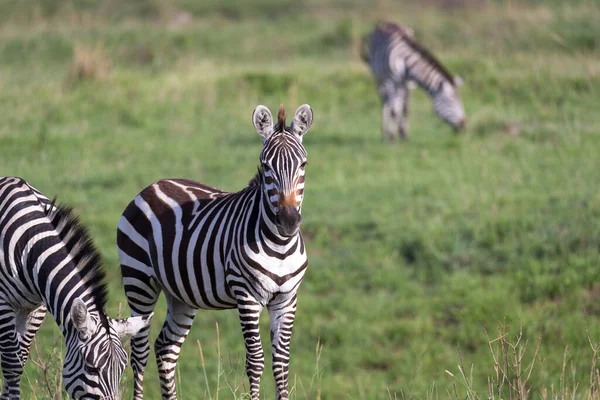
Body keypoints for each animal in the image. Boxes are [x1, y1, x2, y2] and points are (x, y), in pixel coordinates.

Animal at [0, 178, 152, 400]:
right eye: (91, 368)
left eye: (122, 368)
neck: (32, 249)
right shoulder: (3, 303)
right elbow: (11, 364)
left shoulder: (36, 308)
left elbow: (19, 361)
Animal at [116, 104, 314, 400]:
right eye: (266, 166)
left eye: (303, 165)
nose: (288, 221)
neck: (280, 245)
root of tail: (152, 186)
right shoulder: (247, 297)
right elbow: (256, 361)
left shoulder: (287, 299)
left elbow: (281, 363)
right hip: (138, 280)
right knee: (139, 353)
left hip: (180, 294)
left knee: (165, 348)